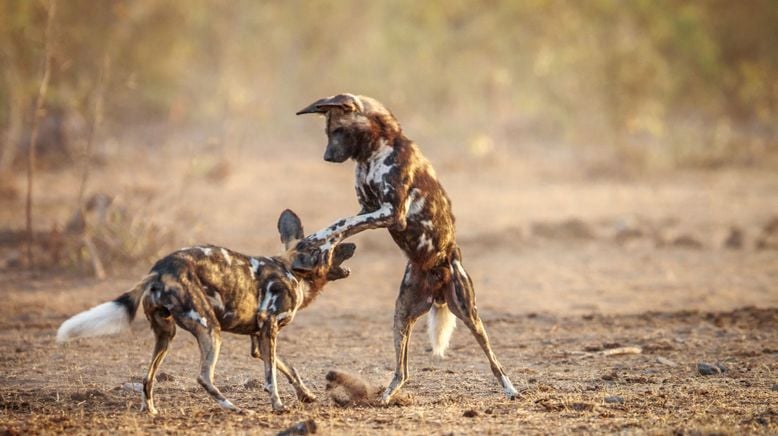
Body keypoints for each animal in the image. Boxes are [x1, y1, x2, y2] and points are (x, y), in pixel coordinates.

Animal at [56, 209, 354, 414]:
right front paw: (278, 406)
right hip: (211, 330)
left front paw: (306, 395)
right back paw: (234, 408)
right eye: (332, 246)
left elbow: (288, 368)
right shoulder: (269, 328)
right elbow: (271, 377)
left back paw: (150, 411)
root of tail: (159, 270)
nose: (352, 245)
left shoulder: (259, 339)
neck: (293, 272)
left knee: (147, 377)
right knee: (203, 376)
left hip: (166, 334)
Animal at [294, 93, 520, 404]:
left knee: (494, 360)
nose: (327, 156)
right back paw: (385, 398)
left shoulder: (390, 213)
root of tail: (441, 273)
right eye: (328, 133)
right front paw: (320, 248)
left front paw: (317, 241)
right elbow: (345, 226)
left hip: (469, 313)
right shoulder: (369, 209)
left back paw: (511, 389)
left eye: (339, 131)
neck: (375, 151)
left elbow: (341, 223)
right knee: (403, 372)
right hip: (402, 314)